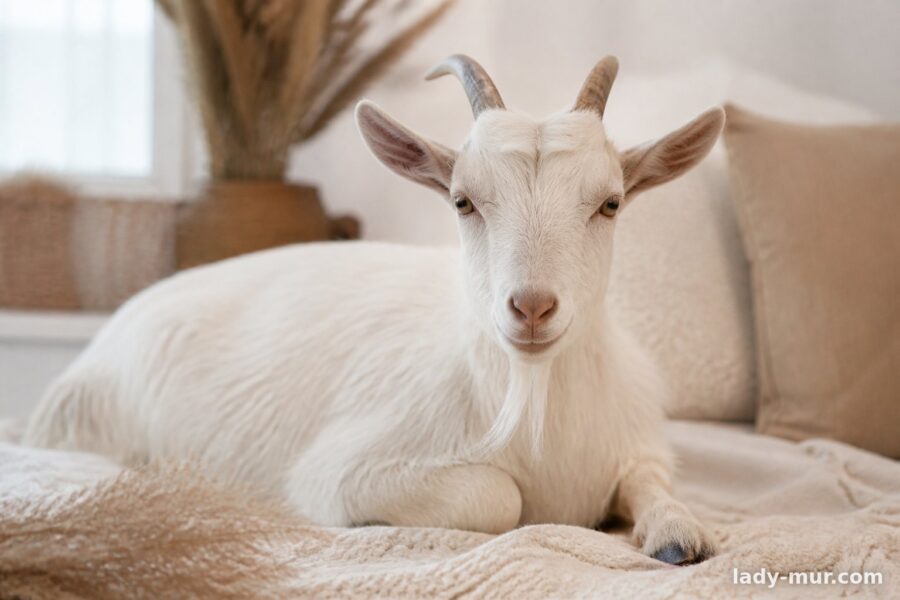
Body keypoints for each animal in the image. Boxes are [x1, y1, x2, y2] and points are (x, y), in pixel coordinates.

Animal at [24, 55, 724, 565]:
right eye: (463, 201)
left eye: (610, 203)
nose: (531, 307)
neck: (533, 401)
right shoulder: (342, 474)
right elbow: (501, 498)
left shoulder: (639, 444)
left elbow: (656, 487)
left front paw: (678, 536)